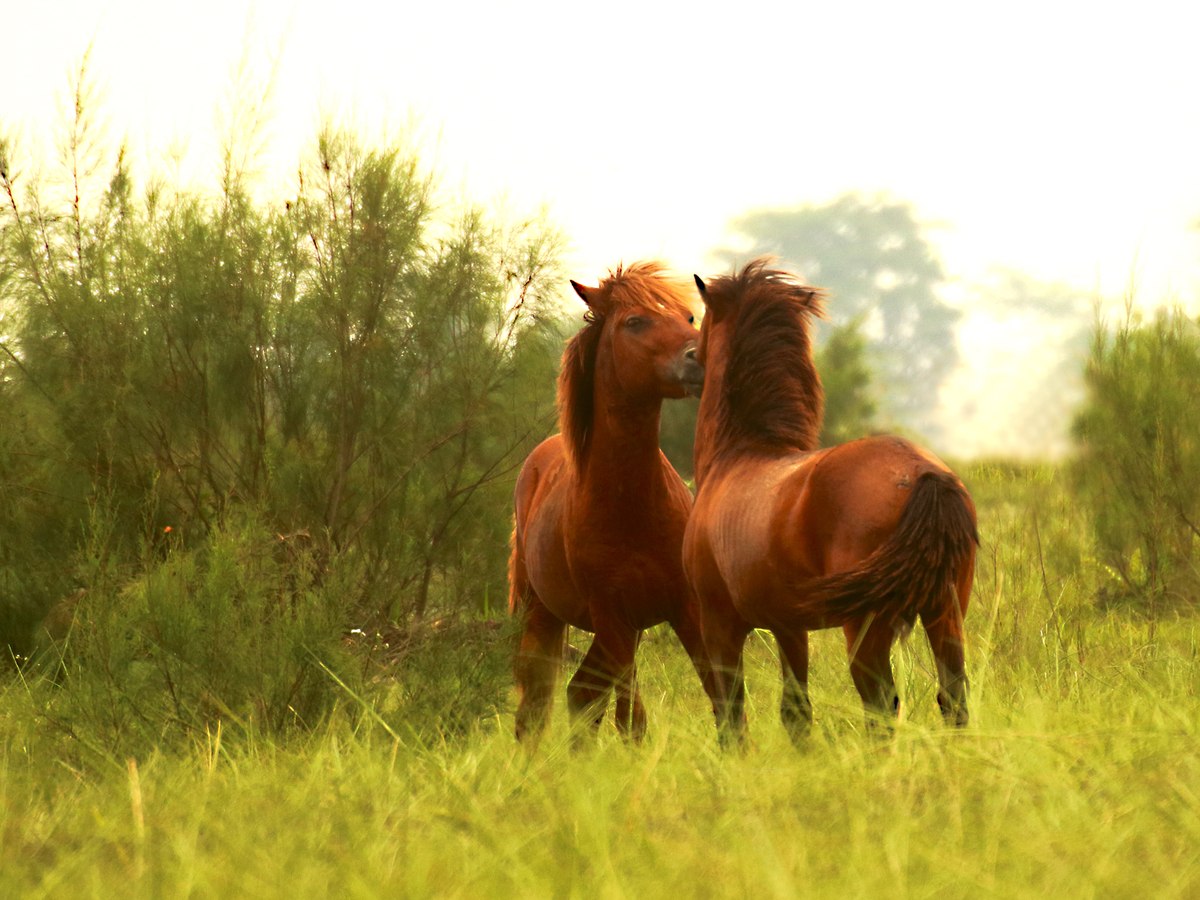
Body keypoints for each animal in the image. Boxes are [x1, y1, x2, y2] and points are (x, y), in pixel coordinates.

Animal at [508, 262, 711, 744]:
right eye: (634, 322)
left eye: (688, 316)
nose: (700, 357)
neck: (631, 504)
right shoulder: (617, 619)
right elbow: (632, 719)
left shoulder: (684, 609)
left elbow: (723, 692)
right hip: (541, 615)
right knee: (537, 709)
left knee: (581, 695)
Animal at [683, 258, 978, 743]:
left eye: (704, 318)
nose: (689, 359)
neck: (739, 456)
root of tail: (924, 472)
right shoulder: (788, 626)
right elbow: (795, 711)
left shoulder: (719, 624)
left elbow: (731, 715)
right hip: (946, 614)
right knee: (953, 698)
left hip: (867, 628)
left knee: (881, 707)